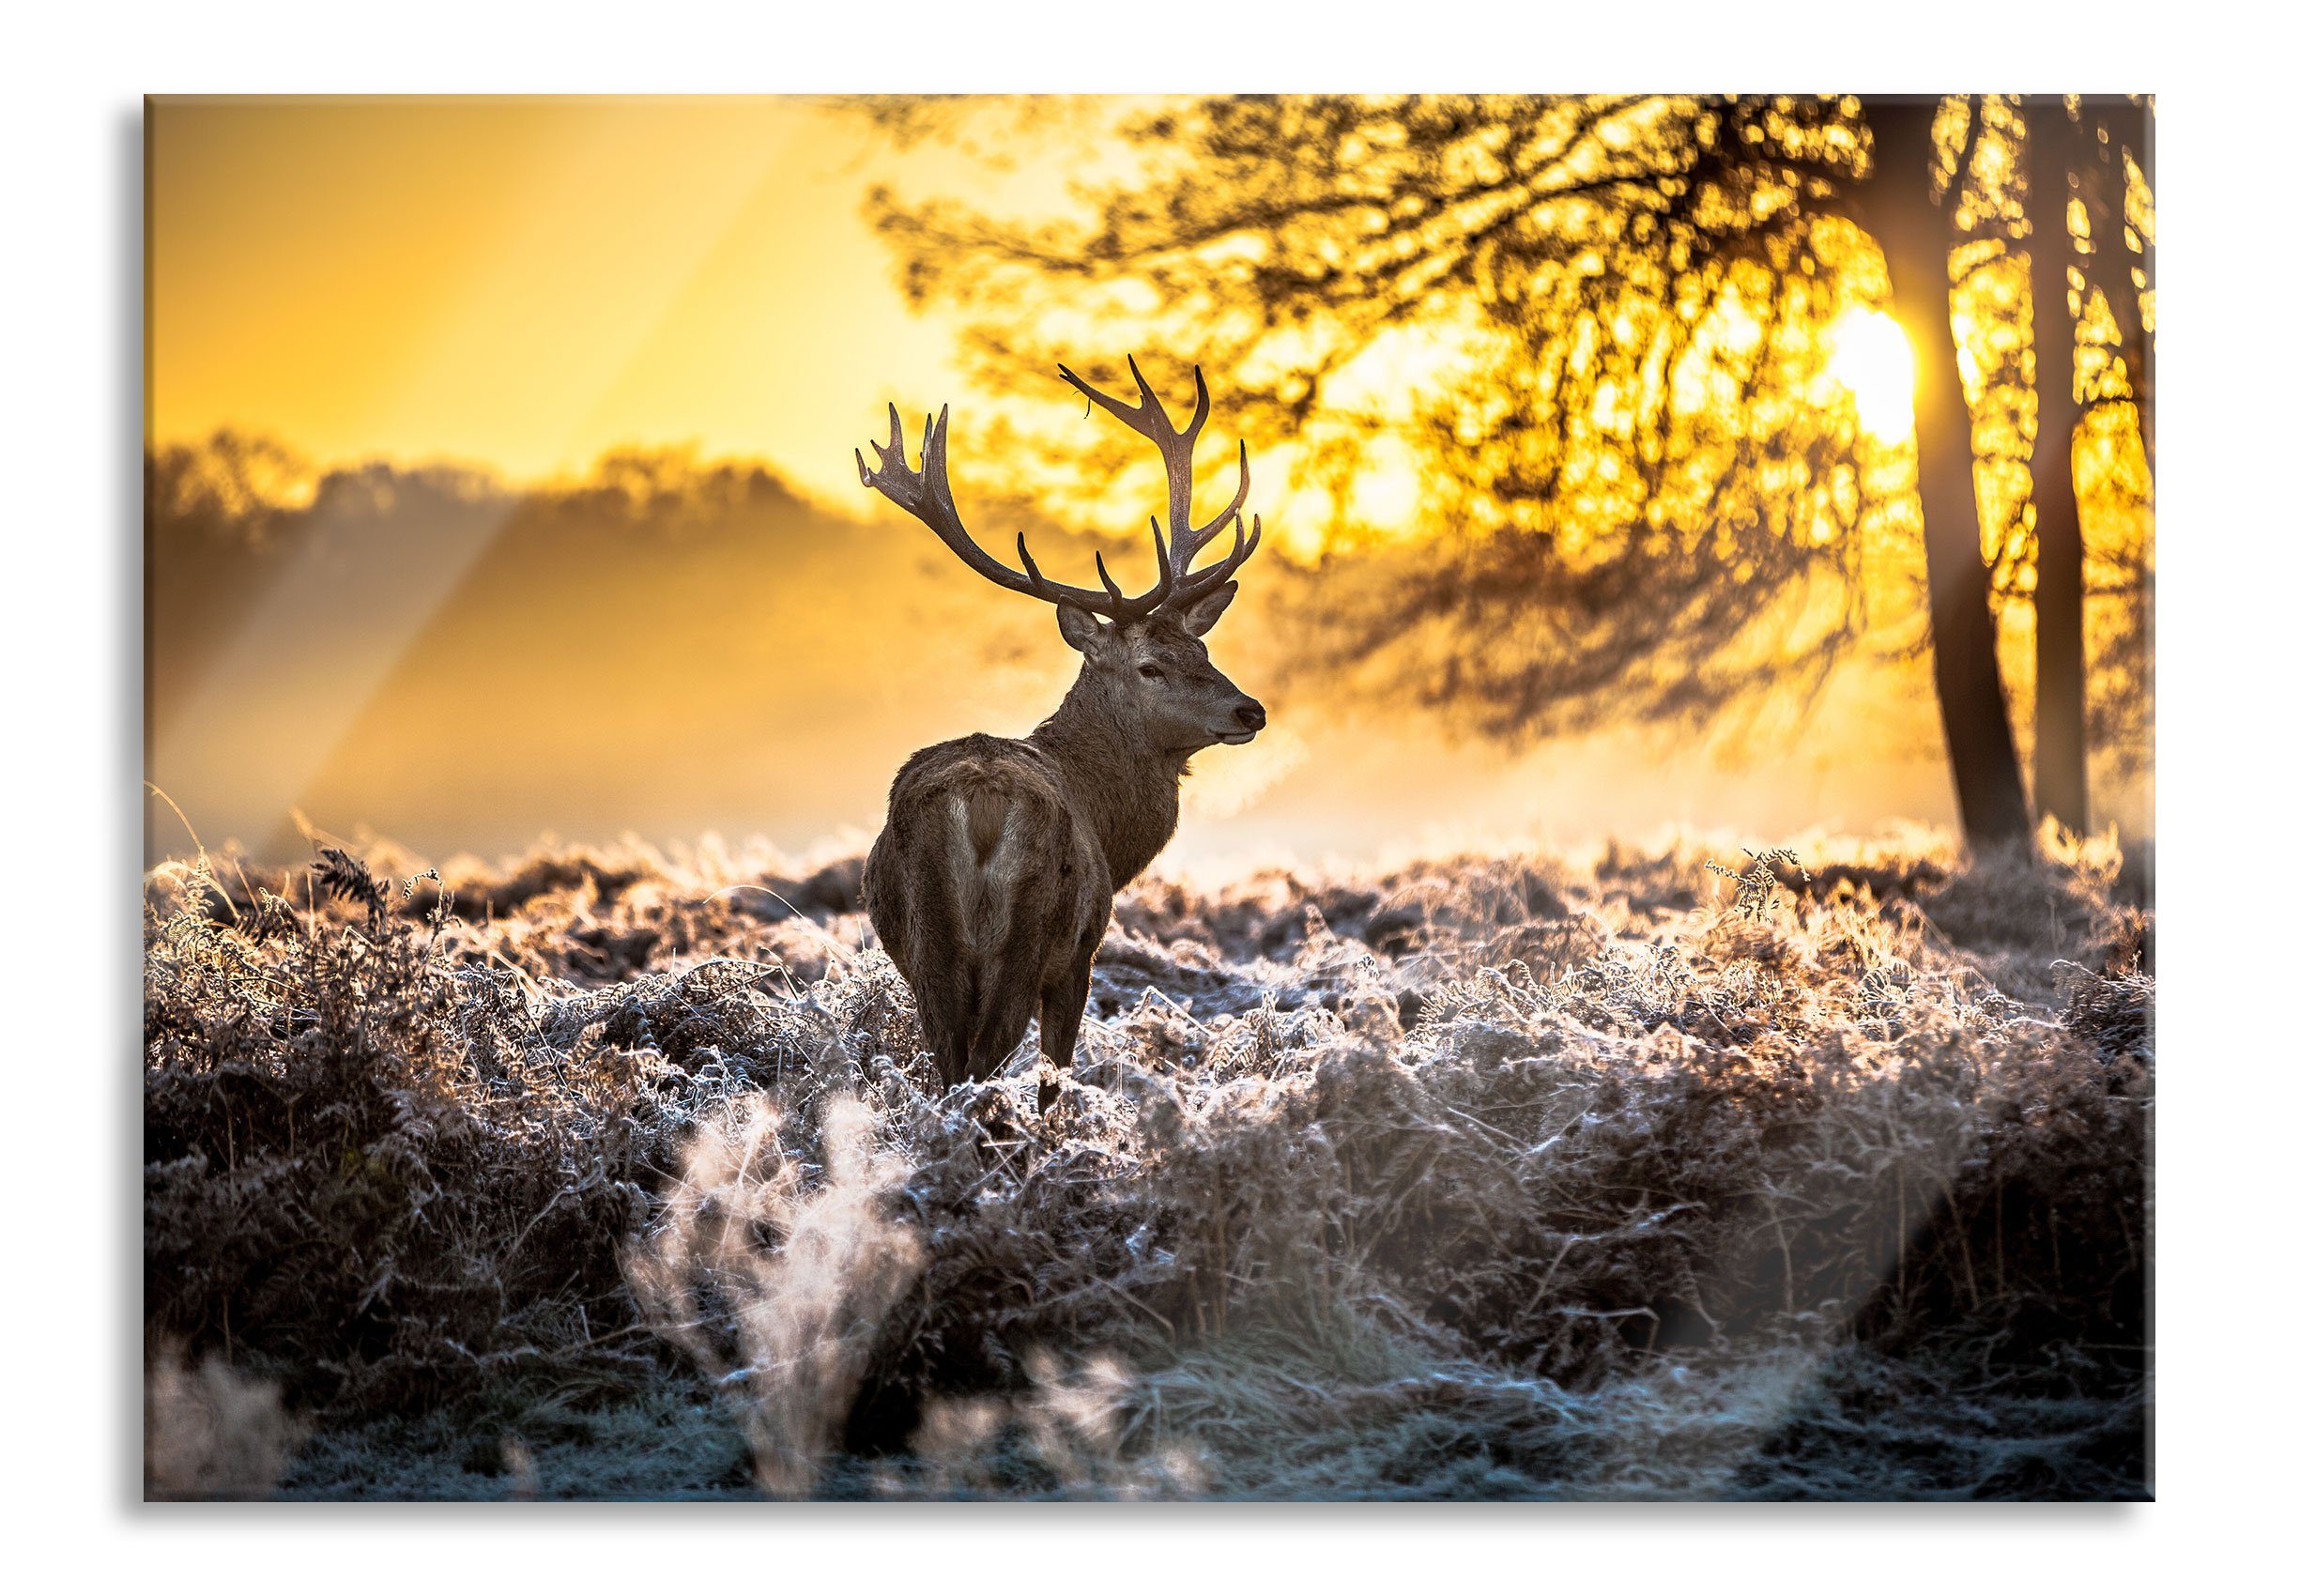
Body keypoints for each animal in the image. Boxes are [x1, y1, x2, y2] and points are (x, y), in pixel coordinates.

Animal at [860, 359, 1269, 1117]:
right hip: (1029, 934)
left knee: (949, 1064)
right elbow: (1057, 1071)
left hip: (928, 942)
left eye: (1203, 650)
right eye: (1151, 665)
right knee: (987, 1061)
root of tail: (979, 808)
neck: (1110, 826)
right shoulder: (1081, 953)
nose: (1250, 711)